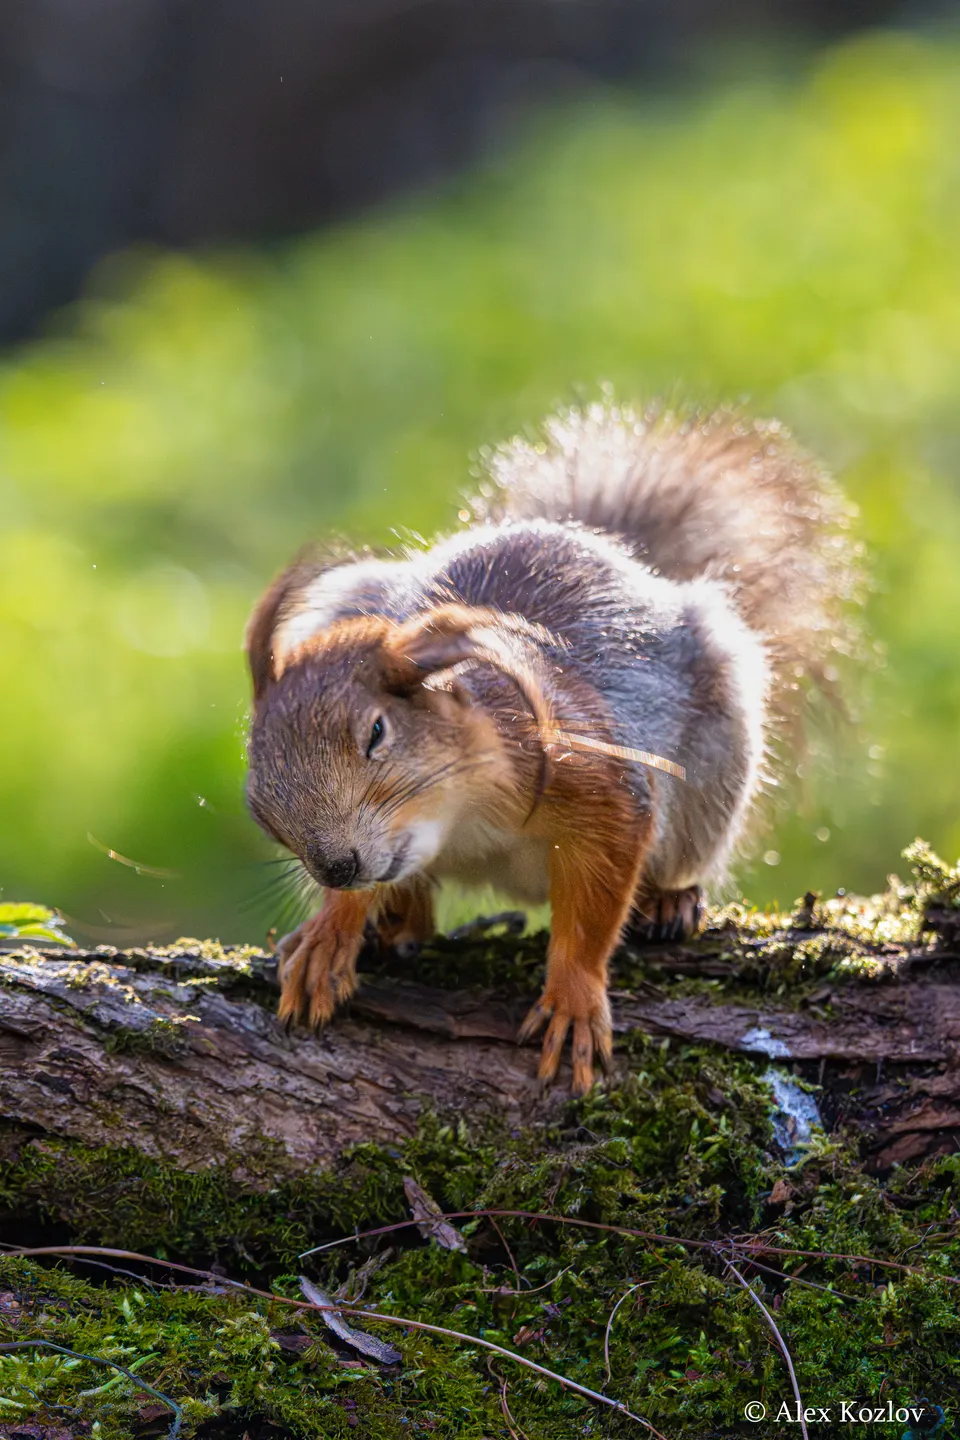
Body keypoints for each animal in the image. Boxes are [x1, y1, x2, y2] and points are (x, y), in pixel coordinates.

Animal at [245, 400, 860, 1094]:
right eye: (257, 802)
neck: (458, 819)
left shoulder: (590, 772)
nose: (336, 867)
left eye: (377, 732)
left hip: (714, 766)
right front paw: (330, 931)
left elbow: (597, 898)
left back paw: (669, 898)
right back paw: (396, 920)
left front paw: (574, 997)